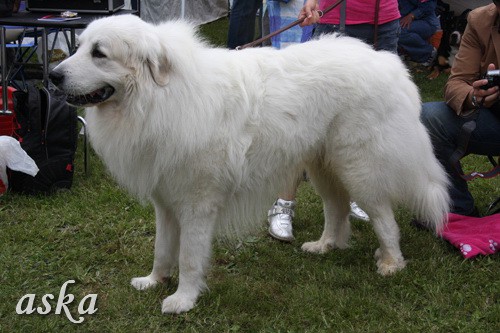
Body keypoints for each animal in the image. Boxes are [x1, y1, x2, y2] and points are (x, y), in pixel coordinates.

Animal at [49, 14, 450, 312]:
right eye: (79, 46)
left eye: (99, 53)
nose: (53, 75)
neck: (161, 96)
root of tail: (389, 62)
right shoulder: (166, 200)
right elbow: (162, 249)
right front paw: (153, 281)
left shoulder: (197, 204)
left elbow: (189, 256)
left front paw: (183, 299)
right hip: (323, 165)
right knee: (336, 208)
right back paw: (324, 246)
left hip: (359, 168)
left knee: (384, 218)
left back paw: (391, 263)